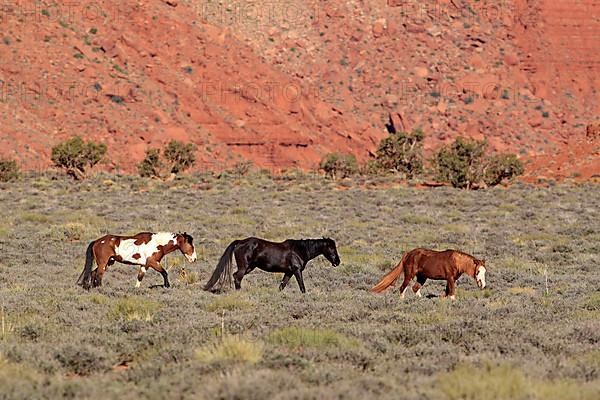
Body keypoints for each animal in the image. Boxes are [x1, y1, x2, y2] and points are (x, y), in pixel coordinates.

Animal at [204, 238, 340, 294]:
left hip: (249, 267)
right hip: (244, 267)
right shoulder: (296, 270)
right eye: (332, 248)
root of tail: (240, 242)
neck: (300, 250)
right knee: (237, 277)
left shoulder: (289, 272)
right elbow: (302, 286)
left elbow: (282, 285)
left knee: (235, 275)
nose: (338, 262)